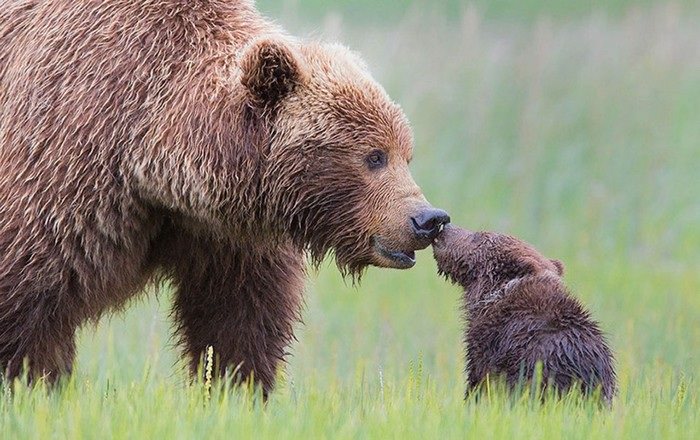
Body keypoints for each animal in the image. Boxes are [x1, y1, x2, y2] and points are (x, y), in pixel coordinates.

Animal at [0, 0, 448, 392]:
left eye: (405, 153)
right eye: (374, 156)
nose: (428, 219)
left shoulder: (226, 234)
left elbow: (238, 316)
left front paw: (236, 388)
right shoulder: (67, 166)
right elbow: (29, 298)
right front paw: (31, 383)